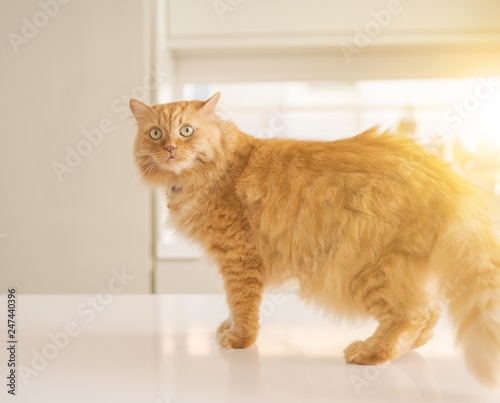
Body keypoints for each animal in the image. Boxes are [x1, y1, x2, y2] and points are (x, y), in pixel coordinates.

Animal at [130, 94, 500, 388]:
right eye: (155, 133)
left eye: (187, 131)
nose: (170, 147)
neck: (216, 169)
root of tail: (442, 174)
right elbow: (234, 306)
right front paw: (228, 327)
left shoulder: (238, 257)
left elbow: (242, 303)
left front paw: (239, 339)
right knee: (431, 311)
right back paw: (402, 348)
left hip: (360, 269)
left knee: (413, 313)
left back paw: (370, 352)